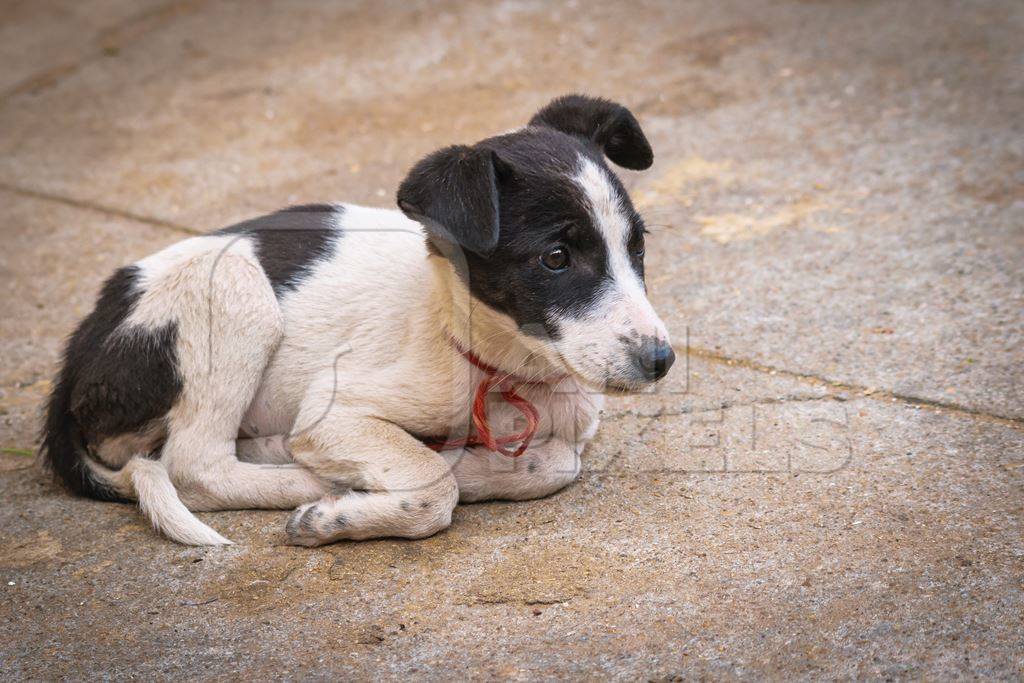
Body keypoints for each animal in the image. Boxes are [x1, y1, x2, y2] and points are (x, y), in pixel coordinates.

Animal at [39, 93, 675, 548]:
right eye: (556, 258)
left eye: (637, 247)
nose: (662, 361)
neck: (493, 367)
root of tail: (75, 363)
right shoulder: (335, 411)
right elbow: (433, 484)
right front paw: (342, 513)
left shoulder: (570, 421)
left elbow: (556, 463)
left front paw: (473, 466)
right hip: (235, 292)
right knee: (193, 466)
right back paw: (310, 480)